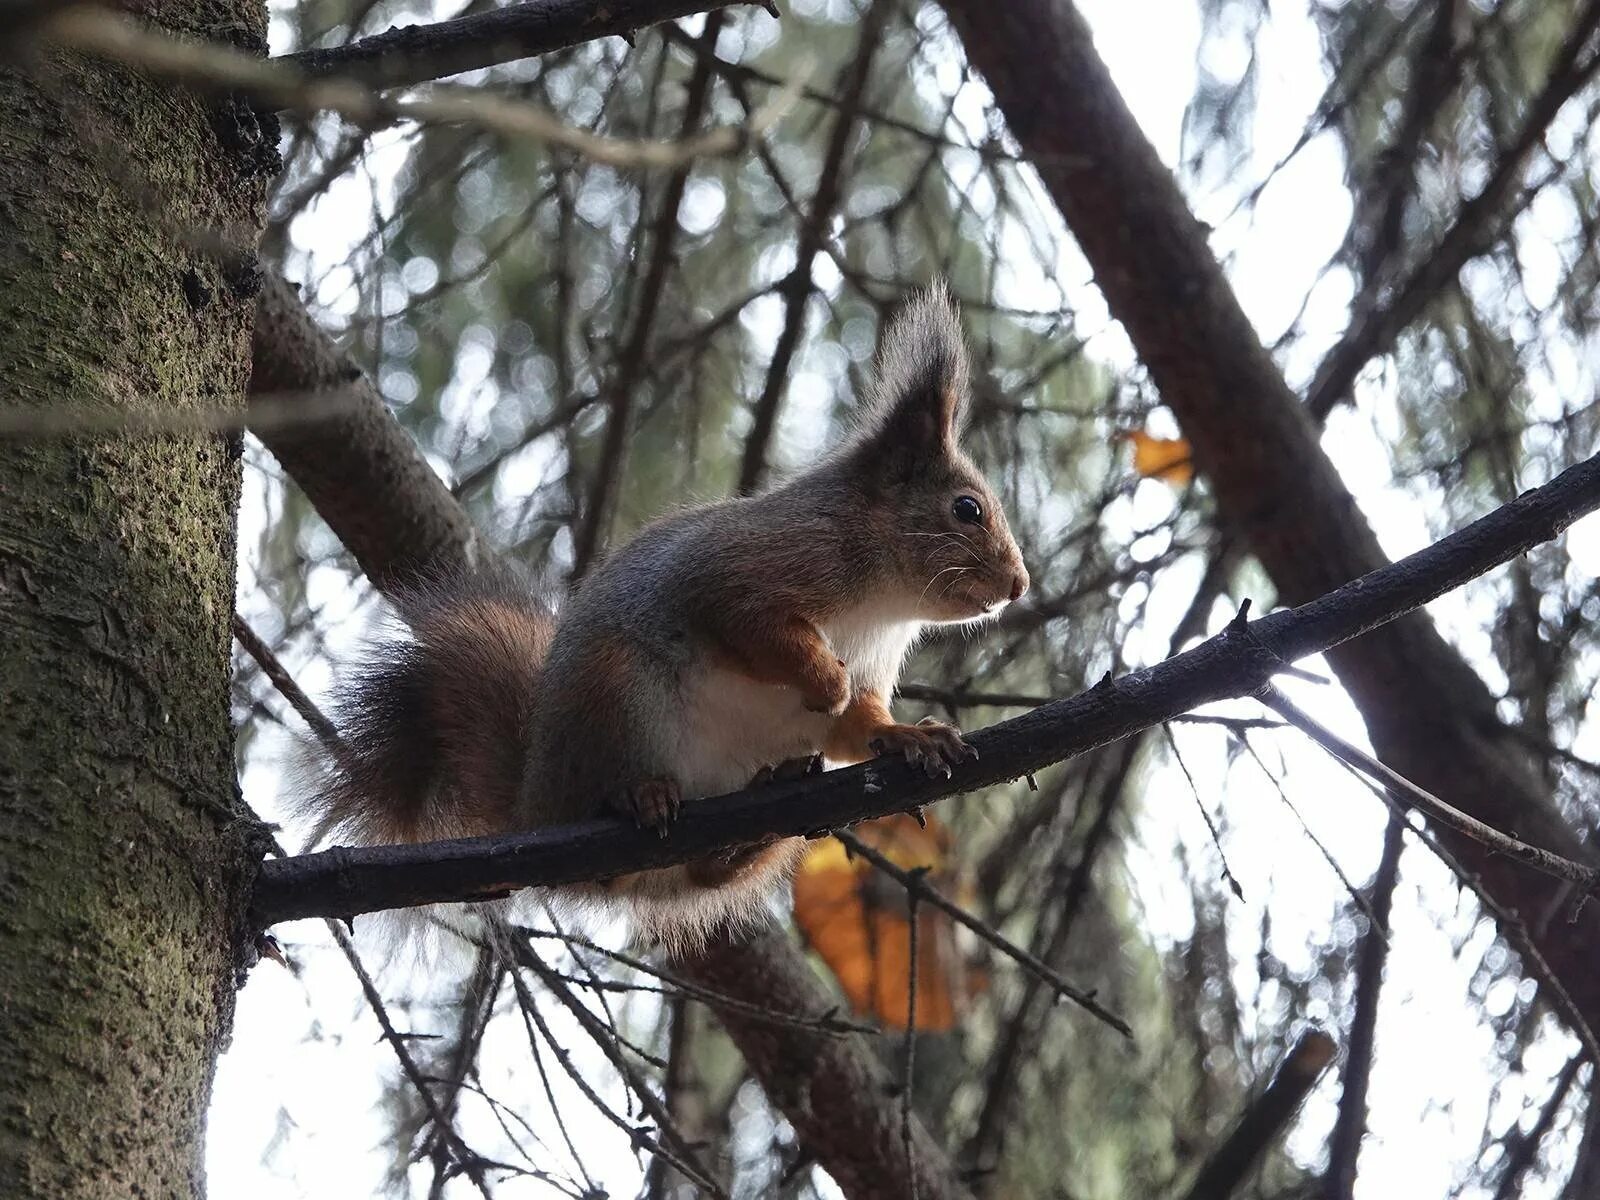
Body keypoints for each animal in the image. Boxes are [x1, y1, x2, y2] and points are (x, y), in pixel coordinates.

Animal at [300, 281, 1024, 960]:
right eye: (966, 508)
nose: (1018, 586)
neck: (883, 602)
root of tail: (535, 802)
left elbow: (859, 726)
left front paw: (908, 735)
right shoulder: (751, 571)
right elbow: (755, 629)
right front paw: (824, 680)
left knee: (706, 876)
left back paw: (754, 822)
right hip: (614, 692)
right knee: (612, 834)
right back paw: (638, 797)